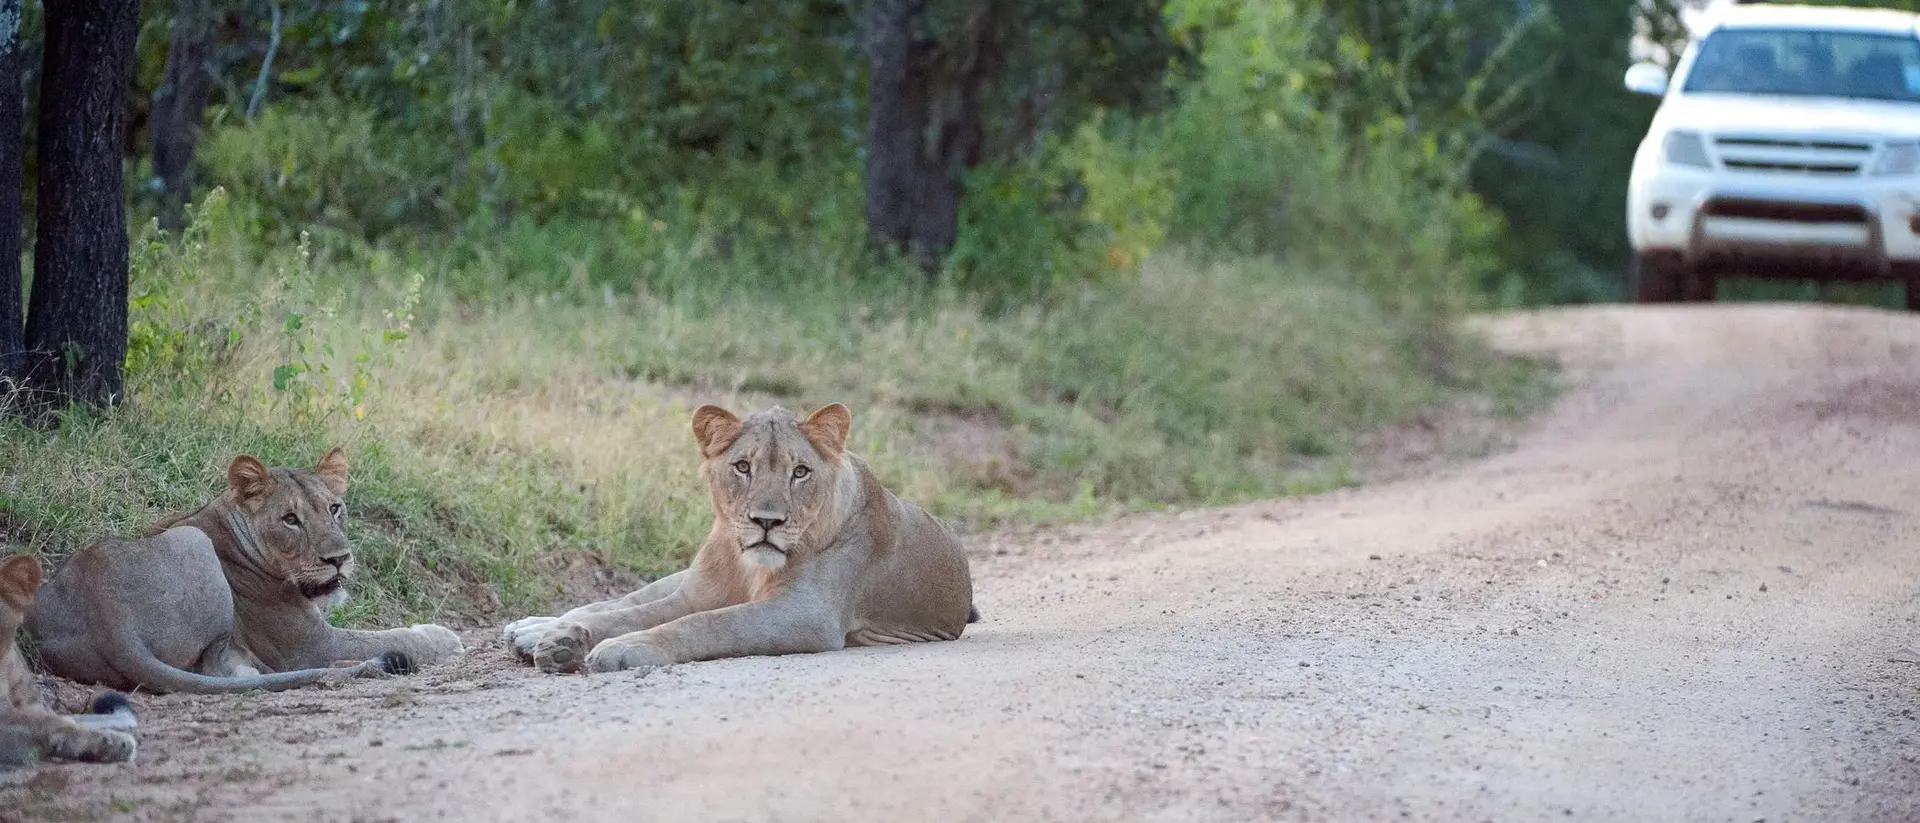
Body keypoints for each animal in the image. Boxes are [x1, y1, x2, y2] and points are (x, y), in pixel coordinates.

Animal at [24, 448, 464, 695]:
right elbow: (389, 637)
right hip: (192, 544)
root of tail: (107, 615)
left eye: (334, 508)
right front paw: (443, 637)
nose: (339, 559)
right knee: (219, 666)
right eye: (290, 519)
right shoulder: (311, 645)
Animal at [503, 403, 979, 674]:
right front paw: (567, 640)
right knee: (618, 600)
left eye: (799, 471)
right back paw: (534, 630)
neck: (748, 565)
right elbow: (630, 614)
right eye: (743, 467)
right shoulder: (694, 594)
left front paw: (624, 647)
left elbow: (709, 623)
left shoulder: (805, 613)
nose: (766, 521)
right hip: (683, 577)